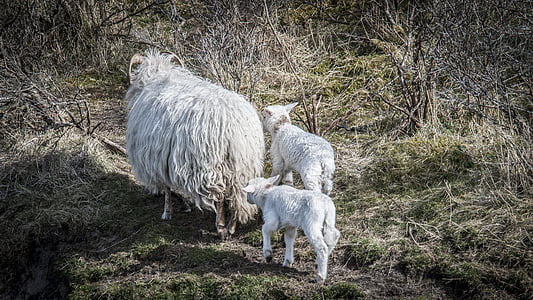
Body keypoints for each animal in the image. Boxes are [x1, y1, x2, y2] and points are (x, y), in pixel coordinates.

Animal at [125, 49, 266, 239]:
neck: (158, 76)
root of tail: (233, 126)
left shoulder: (159, 157)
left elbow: (167, 188)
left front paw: (167, 212)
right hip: (243, 166)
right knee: (238, 196)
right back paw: (231, 226)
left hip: (211, 166)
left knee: (220, 196)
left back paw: (221, 227)